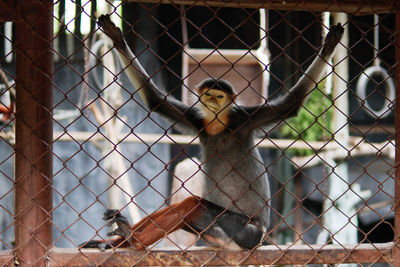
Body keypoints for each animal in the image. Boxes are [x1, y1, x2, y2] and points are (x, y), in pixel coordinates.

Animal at [82, 14, 344, 252]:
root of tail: (255, 241)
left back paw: (132, 240)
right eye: (208, 95)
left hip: (244, 232)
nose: (213, 103)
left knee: (195, 205)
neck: (218, 124)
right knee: (189, 205)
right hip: (215, 233)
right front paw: (116, 39)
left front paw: (329, 46)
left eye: (220, 96)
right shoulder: (198, 120)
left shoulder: (245, 118)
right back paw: (123, 237)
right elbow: (154, 99)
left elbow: (292, 103)